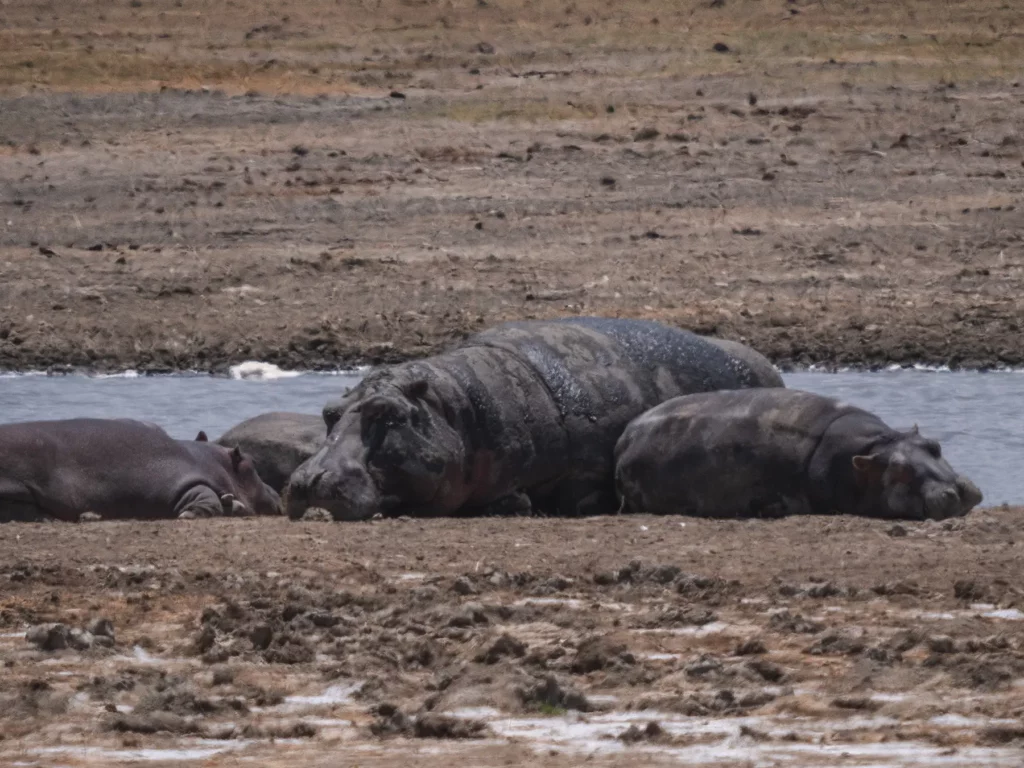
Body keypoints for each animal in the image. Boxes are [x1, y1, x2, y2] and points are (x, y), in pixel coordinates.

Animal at [0, 418, 282, 522]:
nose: (277, 492)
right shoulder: (182, 479)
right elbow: (205, 494)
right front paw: (189, 514)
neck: (211, 460)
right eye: (250, 464)